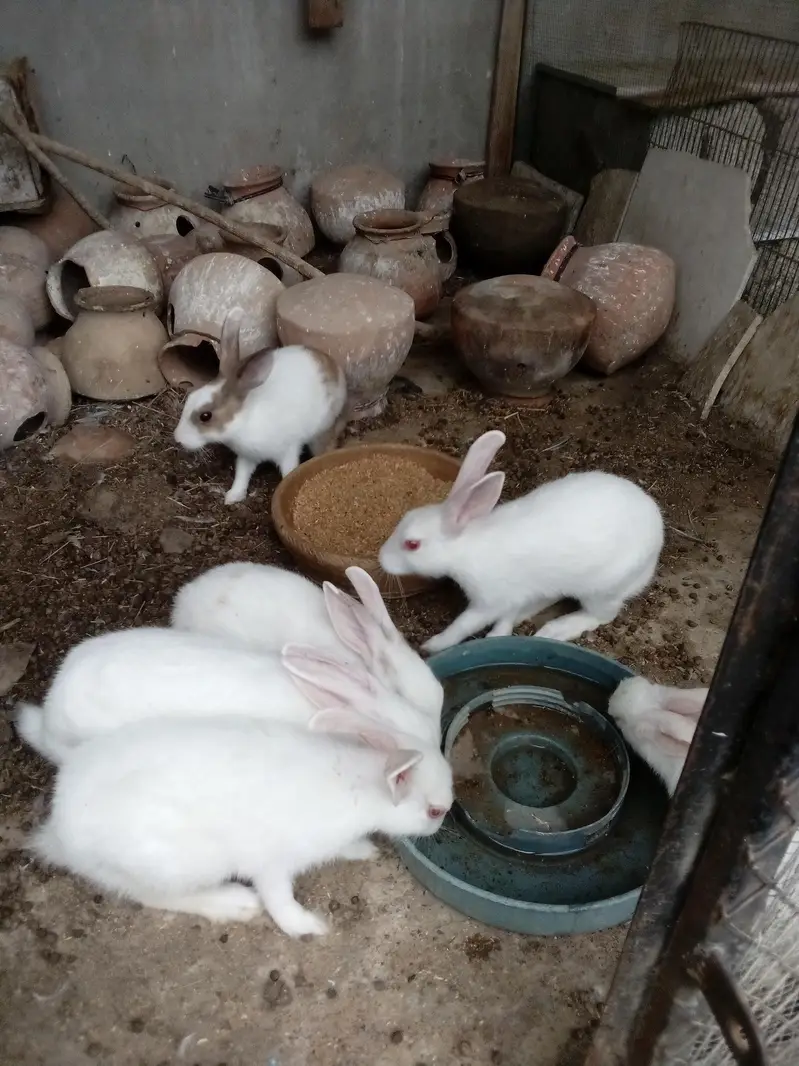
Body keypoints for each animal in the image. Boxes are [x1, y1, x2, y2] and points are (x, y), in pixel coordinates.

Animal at [29, 714, 453, 936]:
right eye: (434, 811)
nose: (444, 821)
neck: (357, 785)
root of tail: (61, 833)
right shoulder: (273, 863)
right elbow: (279, 900)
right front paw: (310, 927)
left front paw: (363, 850)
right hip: (182, 862)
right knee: (154, 896)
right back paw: (234, 904)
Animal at [173, 307, 347, 504]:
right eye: (190, 397)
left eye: (205, 416)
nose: (178, 438)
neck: (245, 420)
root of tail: (333, 366)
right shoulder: (247, 457)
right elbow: (242, 476)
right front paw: (232, 497)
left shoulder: (287, 451)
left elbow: (288, 472)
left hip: (322, 429)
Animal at [378, 430, 665, 653]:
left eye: (412, 544)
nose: (382, 559)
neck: (466, 547)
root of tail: (658, 536)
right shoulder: (511, 597)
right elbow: (506, 616)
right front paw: (499, 635)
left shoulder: (489, 602)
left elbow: (463, 625)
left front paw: (432, 645)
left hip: (601, 591)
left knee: (601, 615)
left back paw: (554, 630)